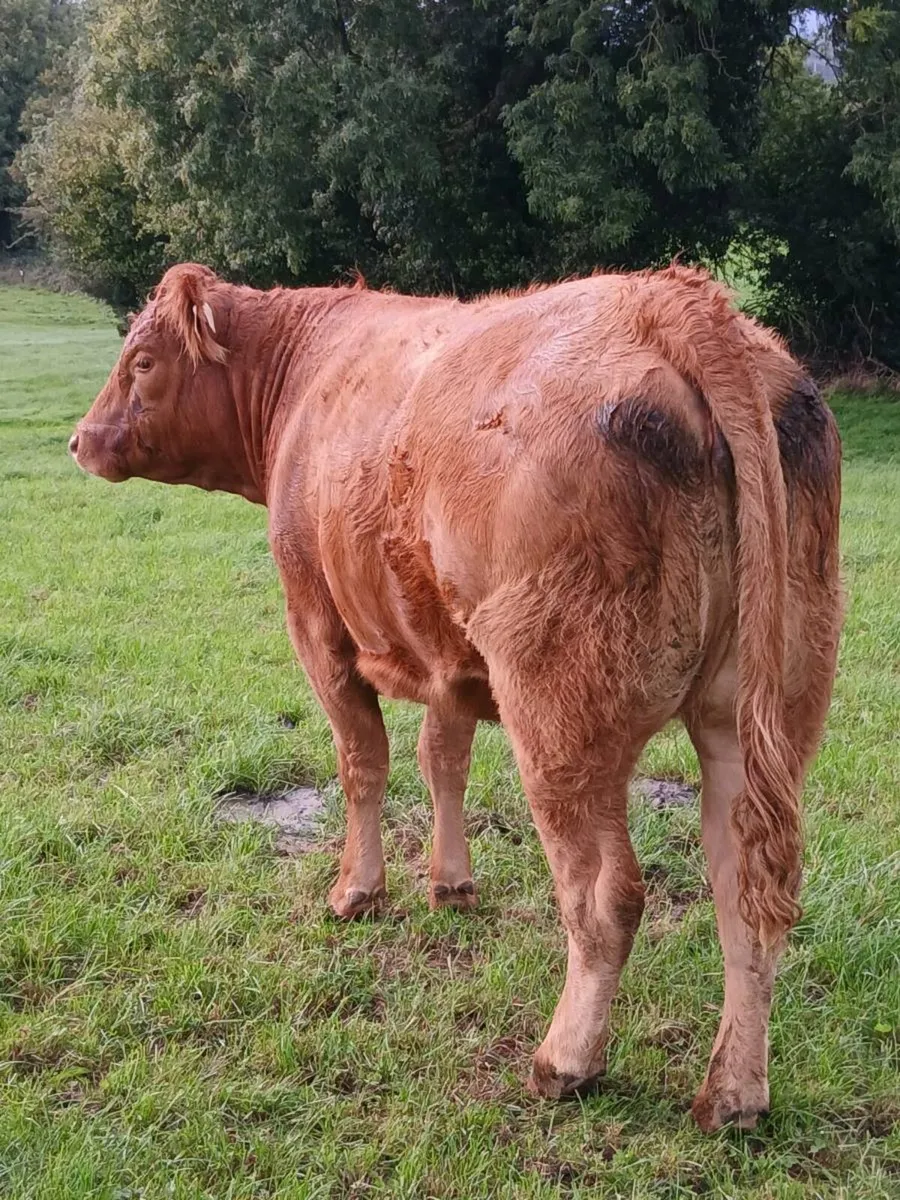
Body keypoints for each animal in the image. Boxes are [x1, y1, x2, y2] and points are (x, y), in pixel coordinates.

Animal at [70, 262, 842, 1130]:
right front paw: (451, 884)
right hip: (758, 712)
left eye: (141, 360)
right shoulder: (447, 654)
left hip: (560, 713)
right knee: (748, 888)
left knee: (605, 893)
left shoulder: (316, 624)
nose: (80, 439)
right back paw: (735, 1095)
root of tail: (677, 302)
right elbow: (442, 758)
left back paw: (565, 1062)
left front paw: (358, 892)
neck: (307, 375)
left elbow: (363, 762)